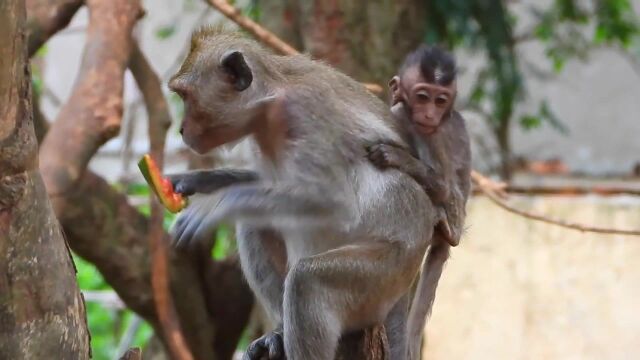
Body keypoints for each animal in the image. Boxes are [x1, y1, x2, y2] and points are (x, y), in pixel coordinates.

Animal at [166, 28, 436, 360]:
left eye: (185, 96)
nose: (181, 129)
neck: (270, 105)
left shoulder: (308, 113)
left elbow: (335, 202)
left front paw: (216, 204)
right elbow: (265, 183)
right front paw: (197, 180)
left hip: (384, 278)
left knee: (307, 281)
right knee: (255, 221)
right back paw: (279, 333)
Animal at [368, 45, 472, 360]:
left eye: (441, 100)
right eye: (424, 96)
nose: (429, 113)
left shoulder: (435, 132)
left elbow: (442, 187)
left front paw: (393, 156)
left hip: (456, 213)